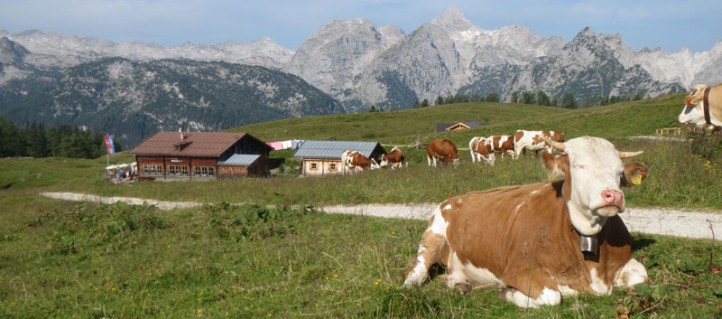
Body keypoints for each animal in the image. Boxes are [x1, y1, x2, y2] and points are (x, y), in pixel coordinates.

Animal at [404, 136, 648, 308]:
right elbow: (552, 296)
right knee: (417, 271)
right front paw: (508, 292)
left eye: (619, 172)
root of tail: (454, 198)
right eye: (579, 166)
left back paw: (460, 285)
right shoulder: (519, 270)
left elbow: (641, 275)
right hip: (432, 237)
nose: (613, 195)